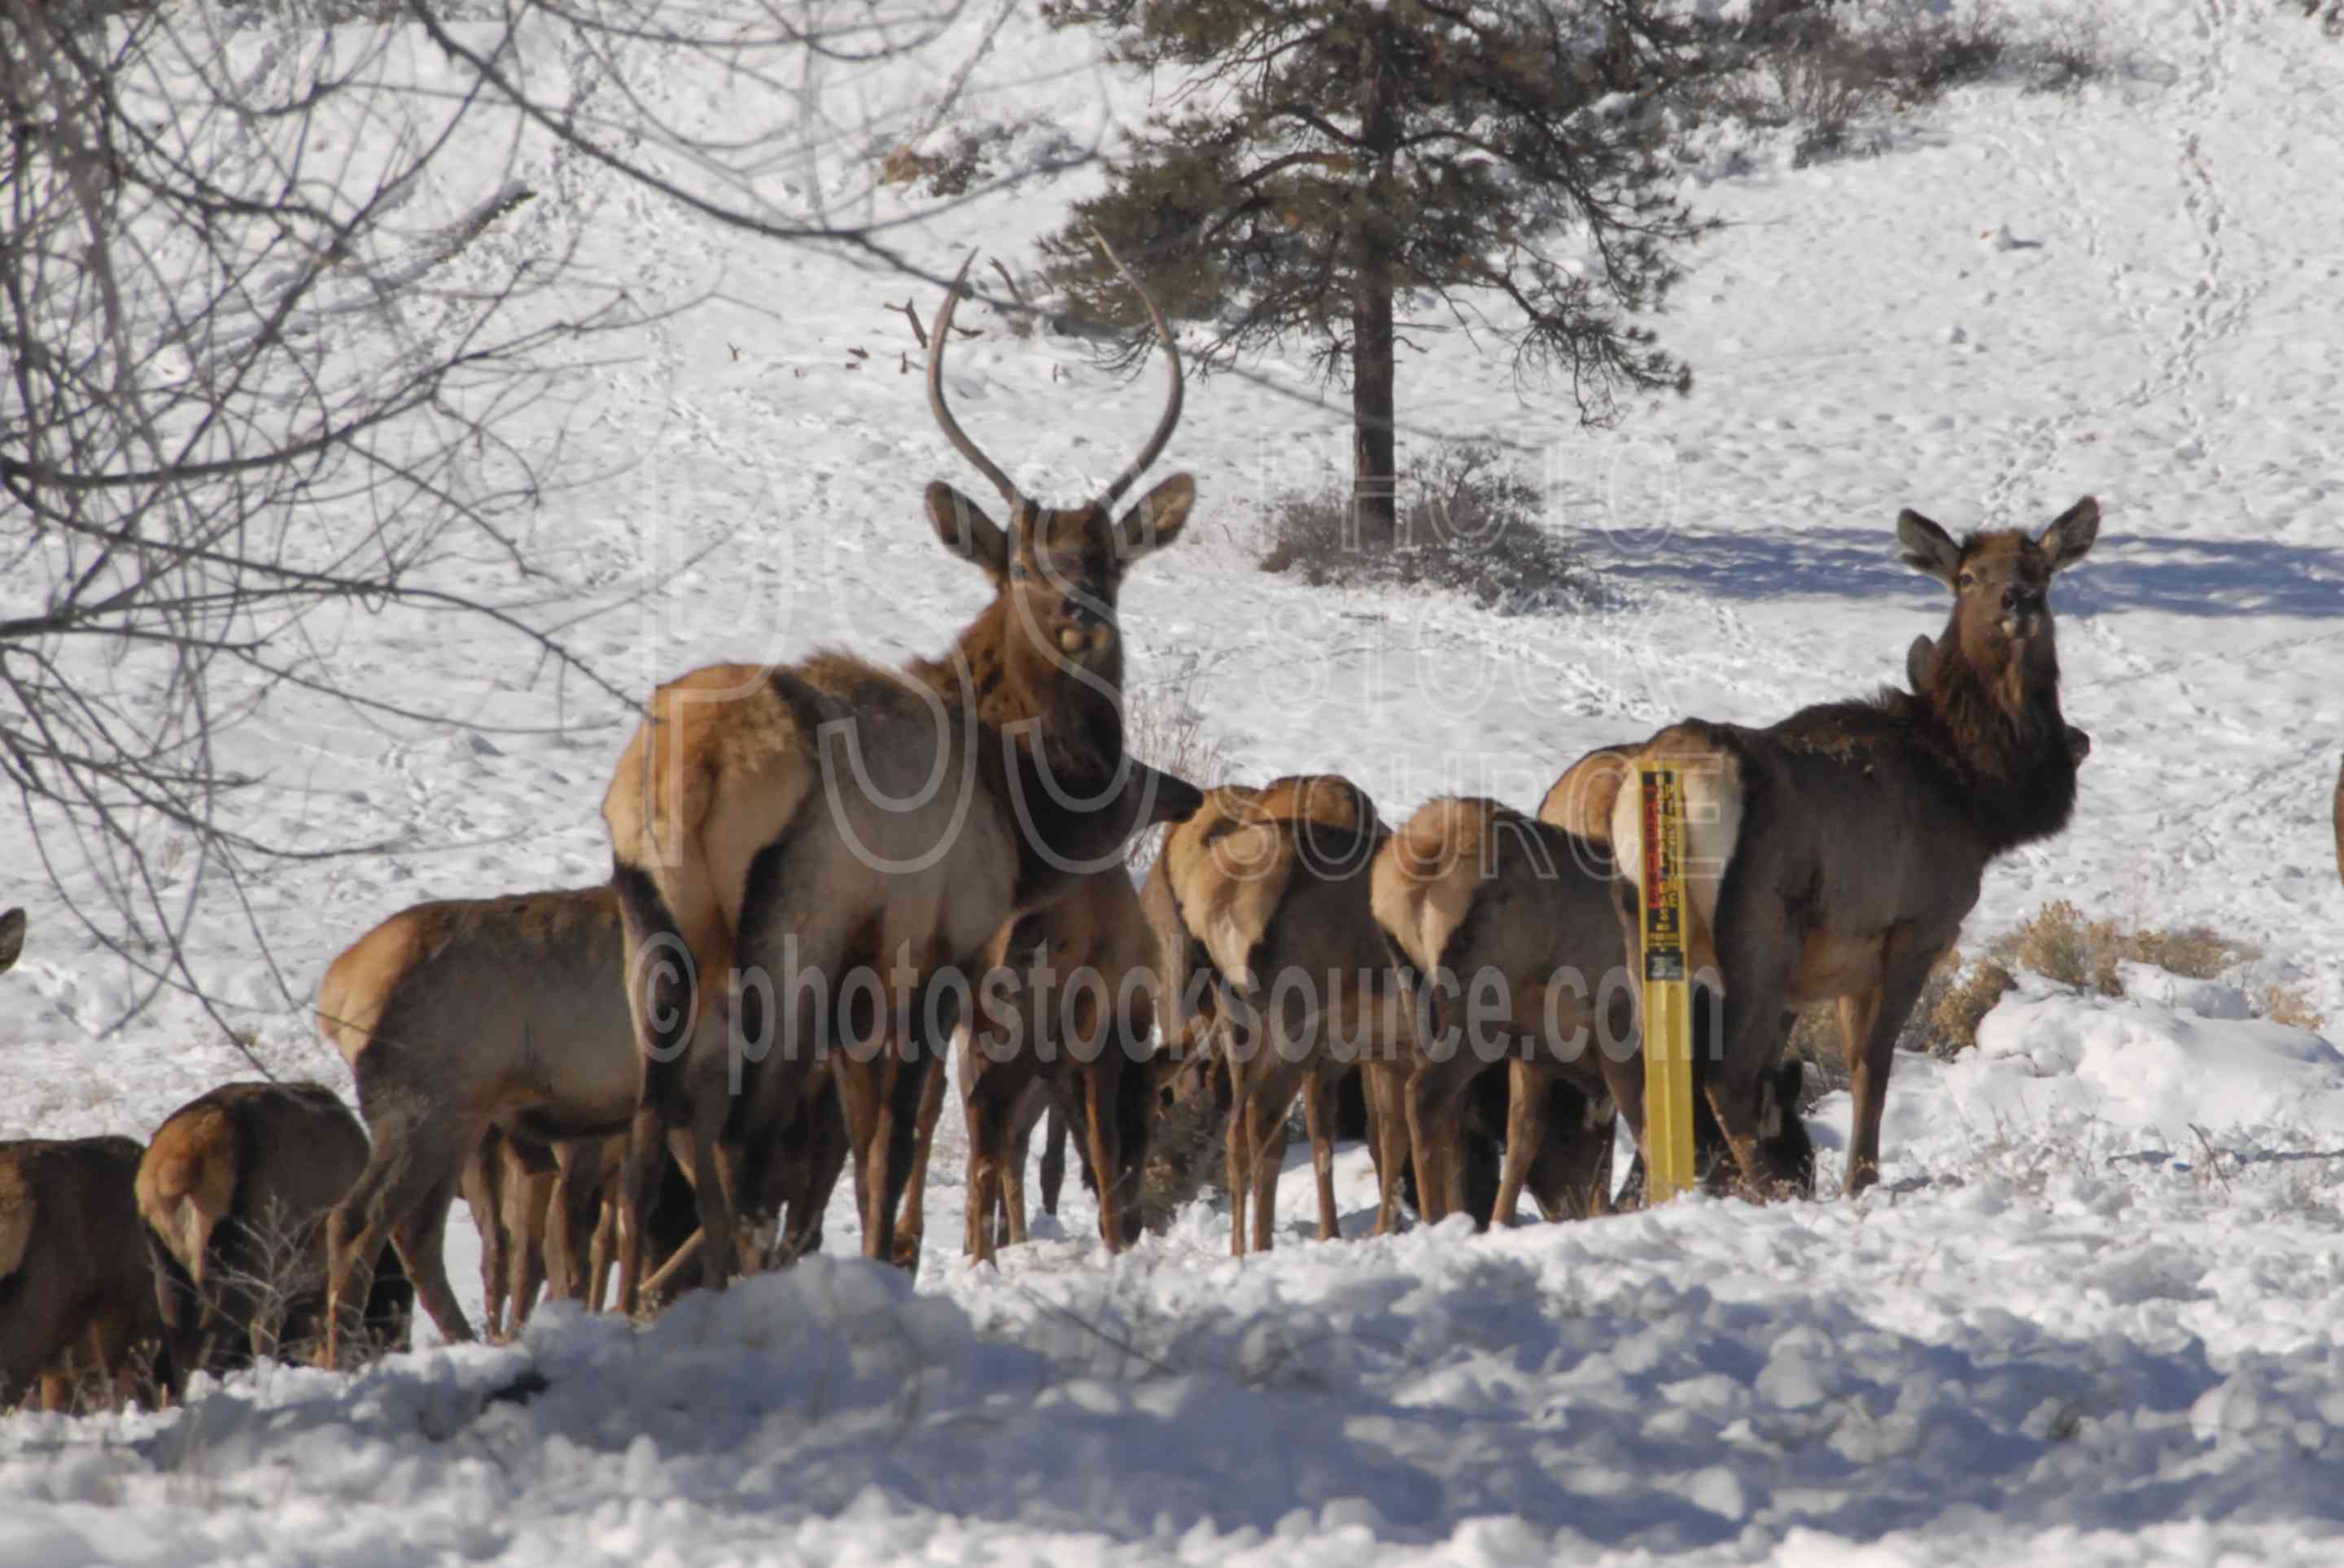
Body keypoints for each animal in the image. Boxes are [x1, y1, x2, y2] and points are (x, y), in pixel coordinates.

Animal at [139, 1081, 414, 1381]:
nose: (403, 1348)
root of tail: (180, 1164)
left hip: (166, 1261)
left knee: (183, 1345)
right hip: (247, 1255)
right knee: (229, 1335)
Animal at [600, 243, 1199, 1311]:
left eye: (1110, 563)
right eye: (1024, 568)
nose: (1082, 616)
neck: (1020, 790)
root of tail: (690, 775)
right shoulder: (930, 953)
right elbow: (897, 1138)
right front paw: (896, 1261)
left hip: (653, 943)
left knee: (646, 1151)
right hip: (791, 937)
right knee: (745, 1140)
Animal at [1602, 498, 2099, 1196]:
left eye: (2043, 570)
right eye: (1966, 577)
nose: (2018, 599)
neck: (1973, 788)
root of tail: (1674, 775)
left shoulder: (1842, 961)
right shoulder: (1914, 927)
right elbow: (1872, 1062)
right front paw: (1860, 1181)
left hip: (1637, 922)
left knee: (1639, 1074)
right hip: (1759, 934)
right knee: (1725, 1075)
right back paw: (1767, 1190)